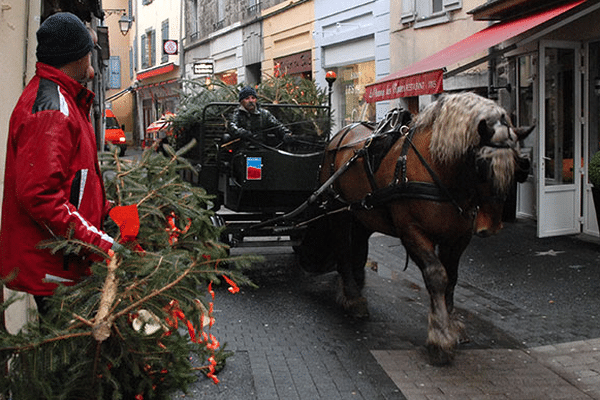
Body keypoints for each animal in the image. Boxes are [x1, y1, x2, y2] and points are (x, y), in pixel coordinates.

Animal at [300, 92, 536, 364]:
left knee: (357, 245)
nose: (491, 226)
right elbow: (437, 275)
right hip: (339, 211)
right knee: (341, 248)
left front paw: (451, 324)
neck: (439, 168)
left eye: (516, 163)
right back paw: (353, 297)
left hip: (362, 212)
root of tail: (340, 134)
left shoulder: (457, 237)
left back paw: (354, 286)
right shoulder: (412, 232)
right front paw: (440, 337)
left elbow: (452, 278)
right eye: (481, 164)